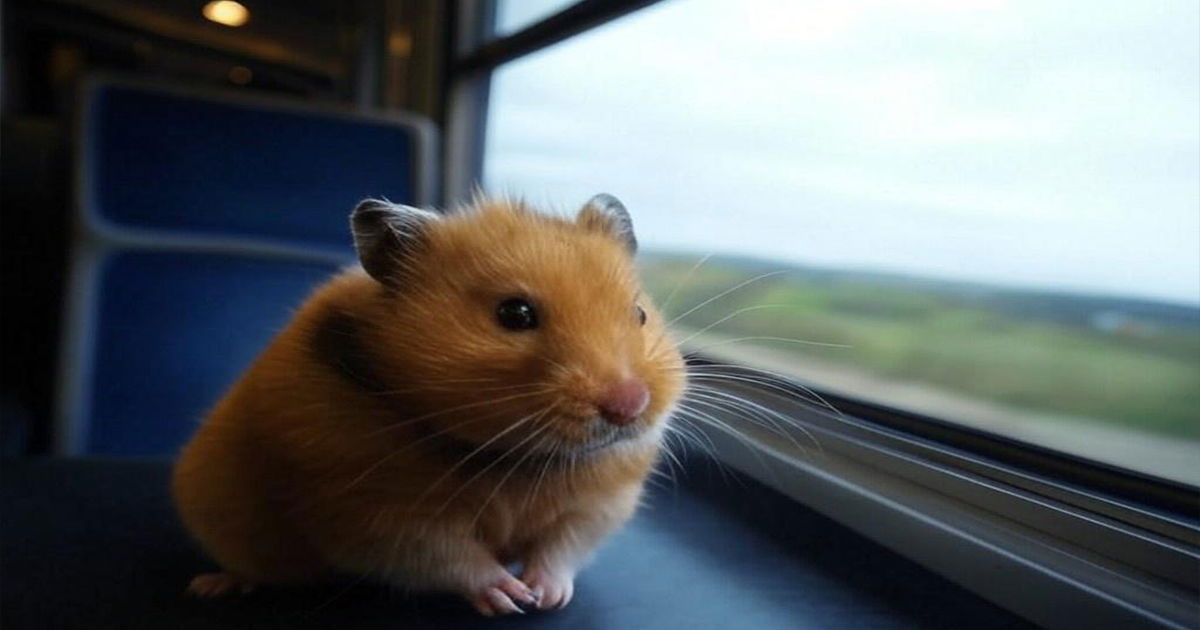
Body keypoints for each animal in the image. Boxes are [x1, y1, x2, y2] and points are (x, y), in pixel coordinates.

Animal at [174, 193, 691, 614]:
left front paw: (546, 597)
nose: (629, 405)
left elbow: (563, 547)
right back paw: (210, 585)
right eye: (514, 314)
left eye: (639, 314)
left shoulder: (600, 505)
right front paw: (510, 598)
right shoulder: (374, 515)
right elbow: (451, 557)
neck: (514, 458)